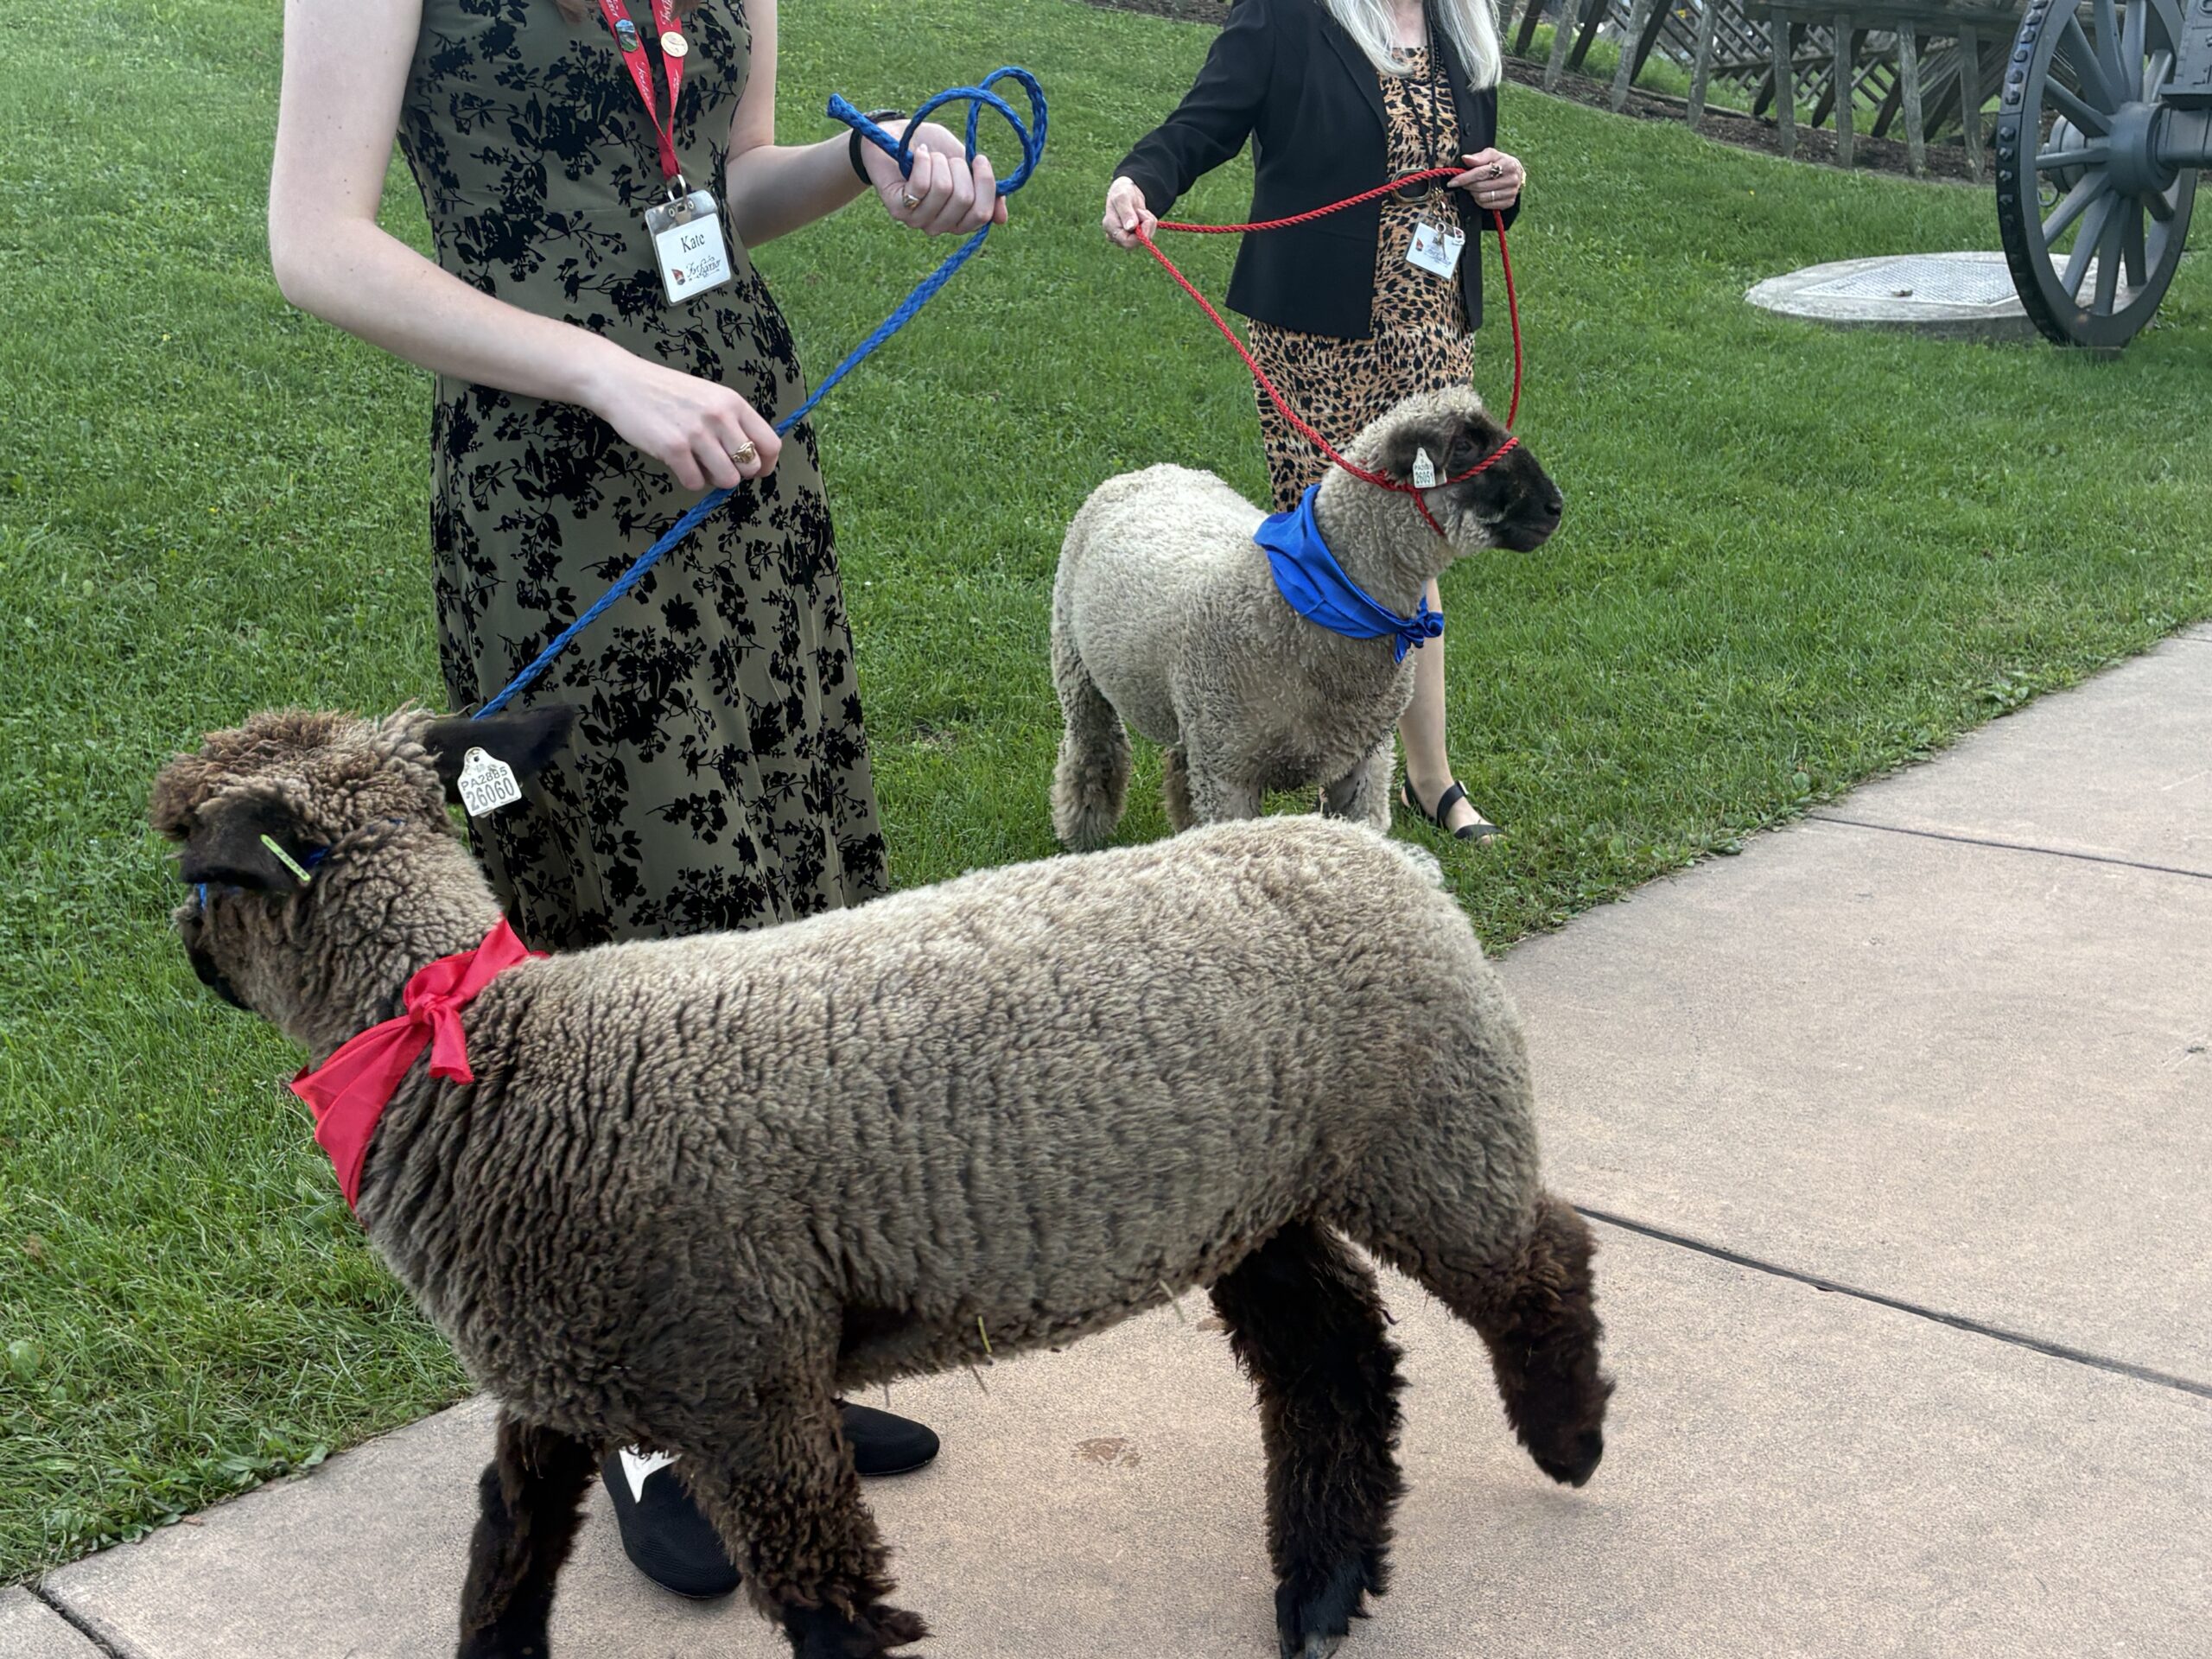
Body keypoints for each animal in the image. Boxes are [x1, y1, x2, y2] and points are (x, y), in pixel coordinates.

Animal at [152, 704, 1611, 1659]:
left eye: (189, 862)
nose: (182, 952)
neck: (486, 1049)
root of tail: (1378, 852)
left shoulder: (740, 1385)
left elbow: (827, 1608)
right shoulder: (559, 1375)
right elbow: (502, 1557)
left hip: (1424, 1123)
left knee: (1539, 1259)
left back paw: (1568, 1443)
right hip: (1249, 1193)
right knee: (1334, 1354)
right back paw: (1320, 1590)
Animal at [1051, 386, 1563, 850]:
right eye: (1465, 446)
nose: (1555, 506)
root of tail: (1152, 470)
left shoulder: (1364, 762)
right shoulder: (1229, 775)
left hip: (1193, 715)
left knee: (1177, 768)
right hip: (1077, 669)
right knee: (1094, 754)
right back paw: (1083, 834)